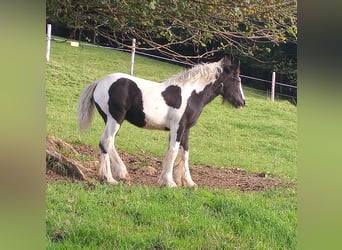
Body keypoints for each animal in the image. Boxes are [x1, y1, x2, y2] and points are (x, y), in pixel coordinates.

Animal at [78, 56, 246, 188]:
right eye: (236, 79)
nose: (242, 102)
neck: (191, 94)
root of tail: (99, 82)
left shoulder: (186, 129)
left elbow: (185, 153)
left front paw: (189, 183)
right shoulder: (177, 127)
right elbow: (173, 152)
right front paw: (169, 182)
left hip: (110, 120)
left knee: (105, 143)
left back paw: (110, 176)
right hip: (116, 119)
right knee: (107, 141)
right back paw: (116, 176)